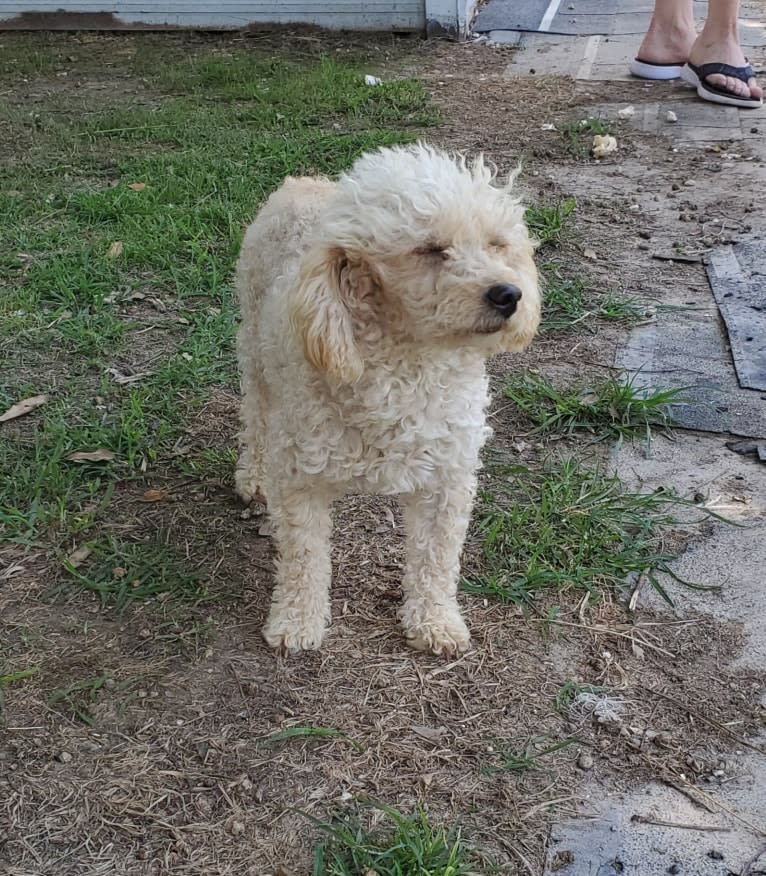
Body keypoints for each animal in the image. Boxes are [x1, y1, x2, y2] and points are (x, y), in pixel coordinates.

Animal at [237, 144, 544, 652]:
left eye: (497, 244)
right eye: (429, 249)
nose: (509, 294)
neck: (407, 366)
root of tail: (301, 181)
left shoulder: (447, 478)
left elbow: (437, 557)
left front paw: (435, 620)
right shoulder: (301, 478)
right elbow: (304, 557)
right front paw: (297, 621)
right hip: (255, 356)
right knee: (256, 418)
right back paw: (253, 475)